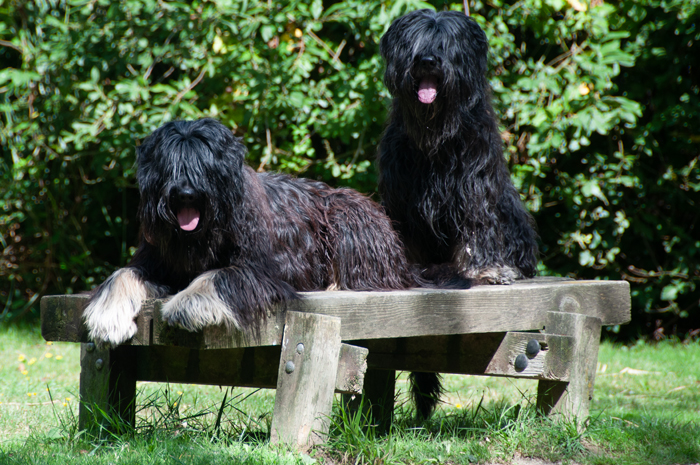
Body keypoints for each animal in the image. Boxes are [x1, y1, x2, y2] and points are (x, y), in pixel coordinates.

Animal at [83, 118, 454, 346]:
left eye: (205, 165)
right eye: (169, 165)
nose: (186, 194)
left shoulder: (264, 270)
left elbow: (220, 275)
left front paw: (185, 303)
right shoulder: (156, 258)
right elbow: (122, 274)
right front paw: (107, 316)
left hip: (348, 216)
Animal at [380, 10, 540, 416]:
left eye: (445, 44)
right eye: (416, 42)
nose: (427, 61)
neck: (437, 134)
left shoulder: (477, 186)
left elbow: (478, 226)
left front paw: (487, 270)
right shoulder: (400, 196)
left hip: (514, 213)